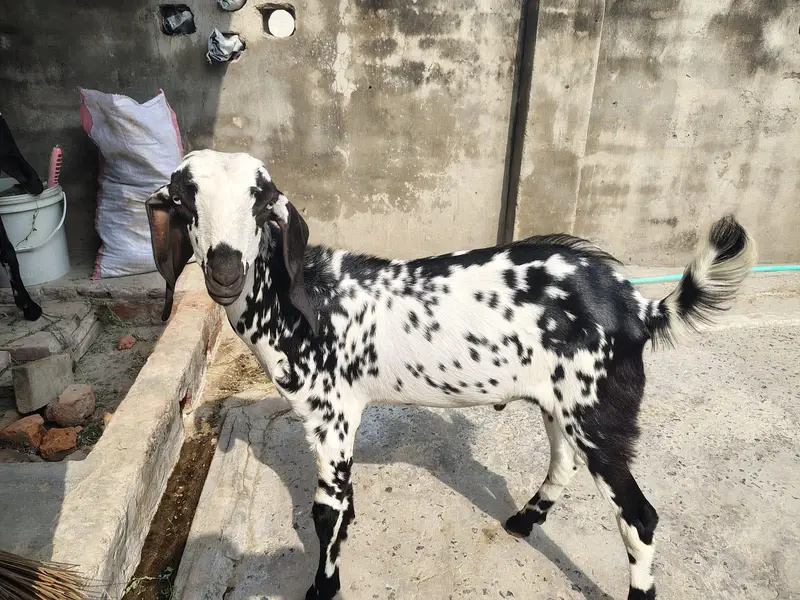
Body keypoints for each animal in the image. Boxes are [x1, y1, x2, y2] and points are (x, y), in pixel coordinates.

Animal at [146, 150, 756, 600]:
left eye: (261, 200)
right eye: (183, 196)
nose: (225, 269)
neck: (307, 299)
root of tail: (638, 307)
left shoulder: (331, 414)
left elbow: (324, 513)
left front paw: (324, 587)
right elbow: (342, 507)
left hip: (599, 414)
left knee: (640, 516)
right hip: (561, 405)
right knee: (562, 464)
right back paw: (523, 521)